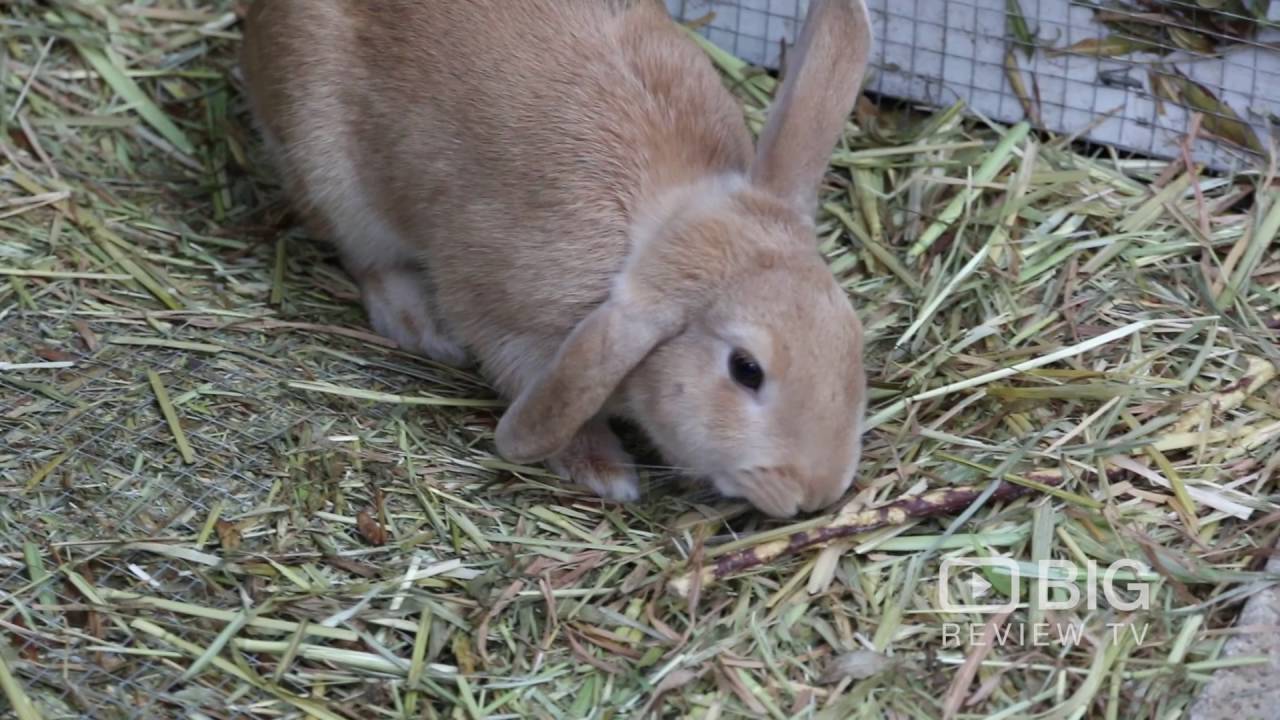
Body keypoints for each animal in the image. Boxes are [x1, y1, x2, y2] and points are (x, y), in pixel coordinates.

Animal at [240, 0, 872, 518]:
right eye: (746, 369)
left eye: (851, 338)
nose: (816, 491)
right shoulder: (509, 324)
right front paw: (606, 473)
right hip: (330, 174)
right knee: (366, 258)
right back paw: (421, 327)